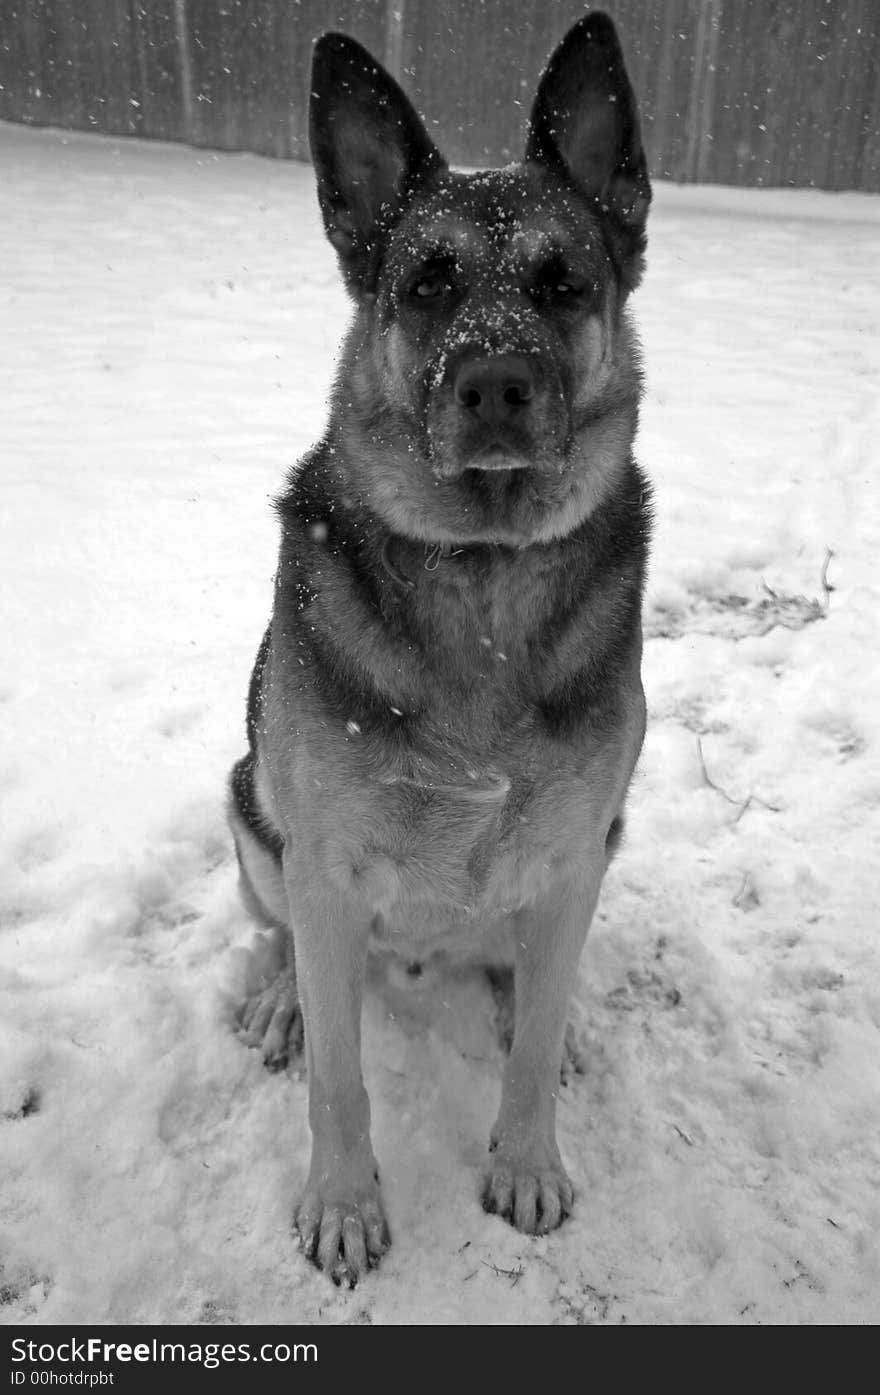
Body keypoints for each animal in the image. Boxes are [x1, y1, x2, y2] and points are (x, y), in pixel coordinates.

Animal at [230, 10, 649, 1283]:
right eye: (429, 281)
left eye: (562, 283)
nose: (496, 385)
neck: (483, 572)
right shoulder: (322, 871)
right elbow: (338, 1081)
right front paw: (343, 1205)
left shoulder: (573, 850)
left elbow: (529, 1060)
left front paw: (525, 1161)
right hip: (251, 814)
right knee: (280, 945)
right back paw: (278, 1002)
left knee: (529, 980)